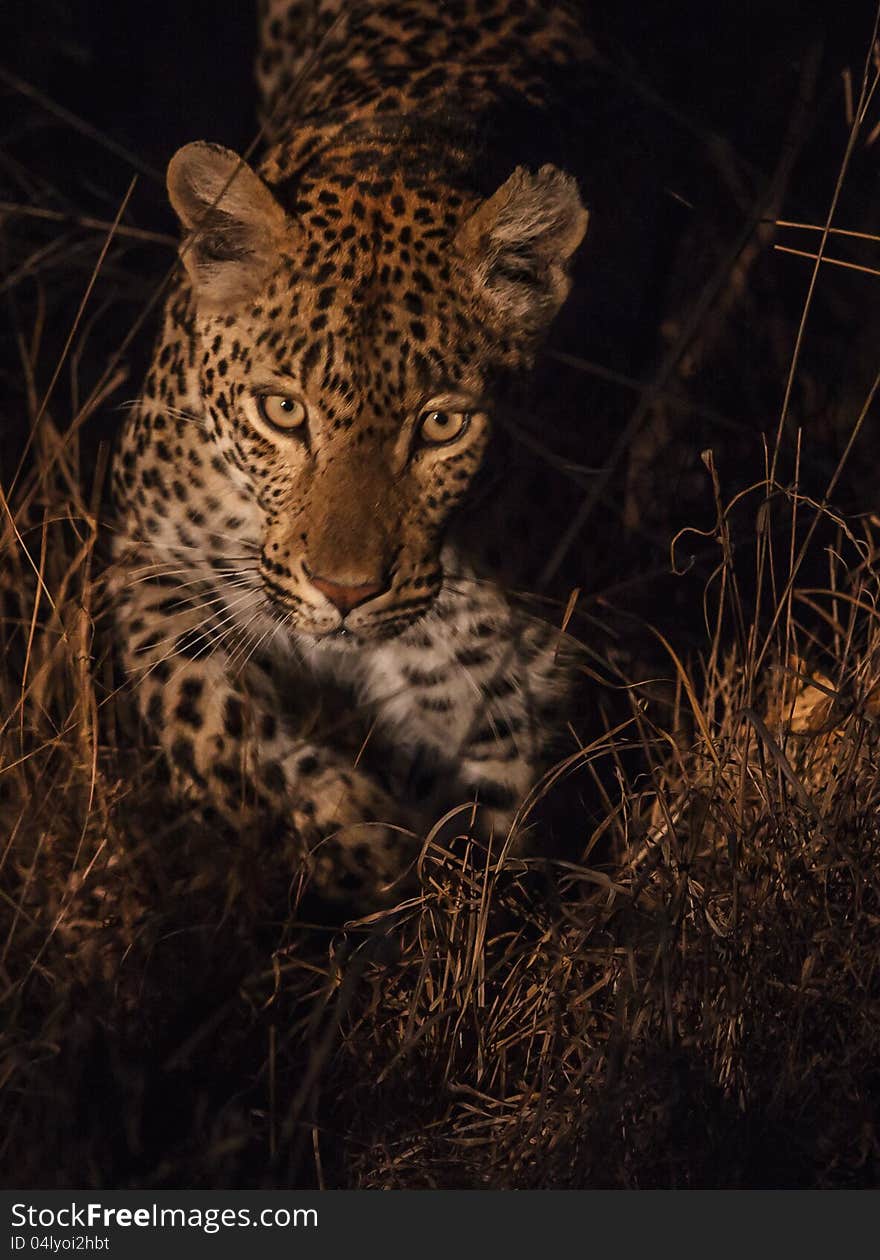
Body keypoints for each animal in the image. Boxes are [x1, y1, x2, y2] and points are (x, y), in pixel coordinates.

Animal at [109, 0, 590, 907]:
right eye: (282, 411)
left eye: (441, 425)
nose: (343, 592)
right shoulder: (152, 560)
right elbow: (206, 718)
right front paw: (353, 836)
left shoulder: (493, 668)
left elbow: (486, 850)